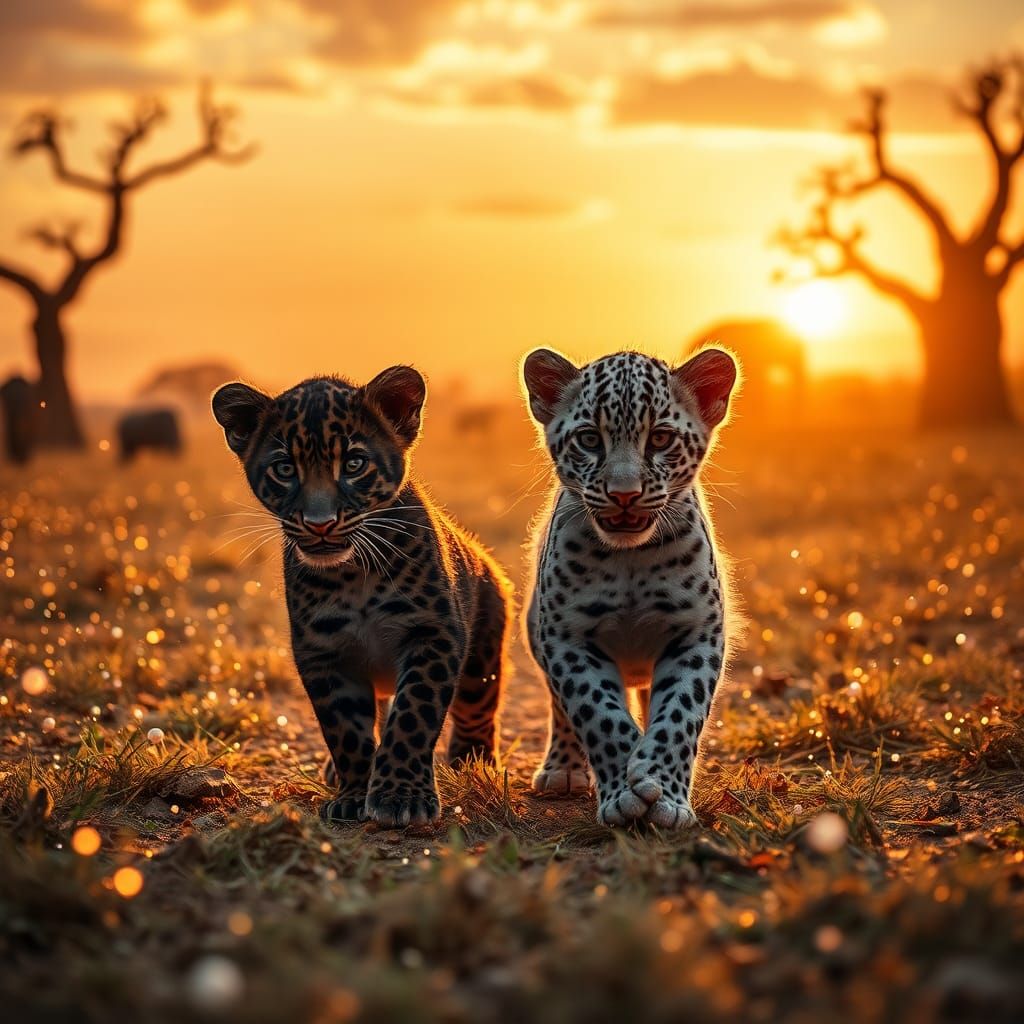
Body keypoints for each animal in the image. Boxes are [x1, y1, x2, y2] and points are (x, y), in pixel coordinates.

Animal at [212, 366, 512, 828]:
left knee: (477, 705)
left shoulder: (433, 633)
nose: (319, 524)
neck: (353, 575)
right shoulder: (323, 651)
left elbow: (413, 713)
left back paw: (472, 763)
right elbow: (346, 730)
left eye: (354, 464)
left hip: (483, 648)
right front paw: (355, 792)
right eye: (284, 468)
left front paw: (400, 796)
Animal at [521, 347, 738, 829]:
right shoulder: (568, 638)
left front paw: (666, 795)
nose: (624, 494)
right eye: (588, 439)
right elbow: (599, 713)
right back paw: (564, 769)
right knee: (561, 708)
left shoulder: (697, 634)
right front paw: (624, 791)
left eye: (660, 439)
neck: (630, 559)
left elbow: (679, 713)